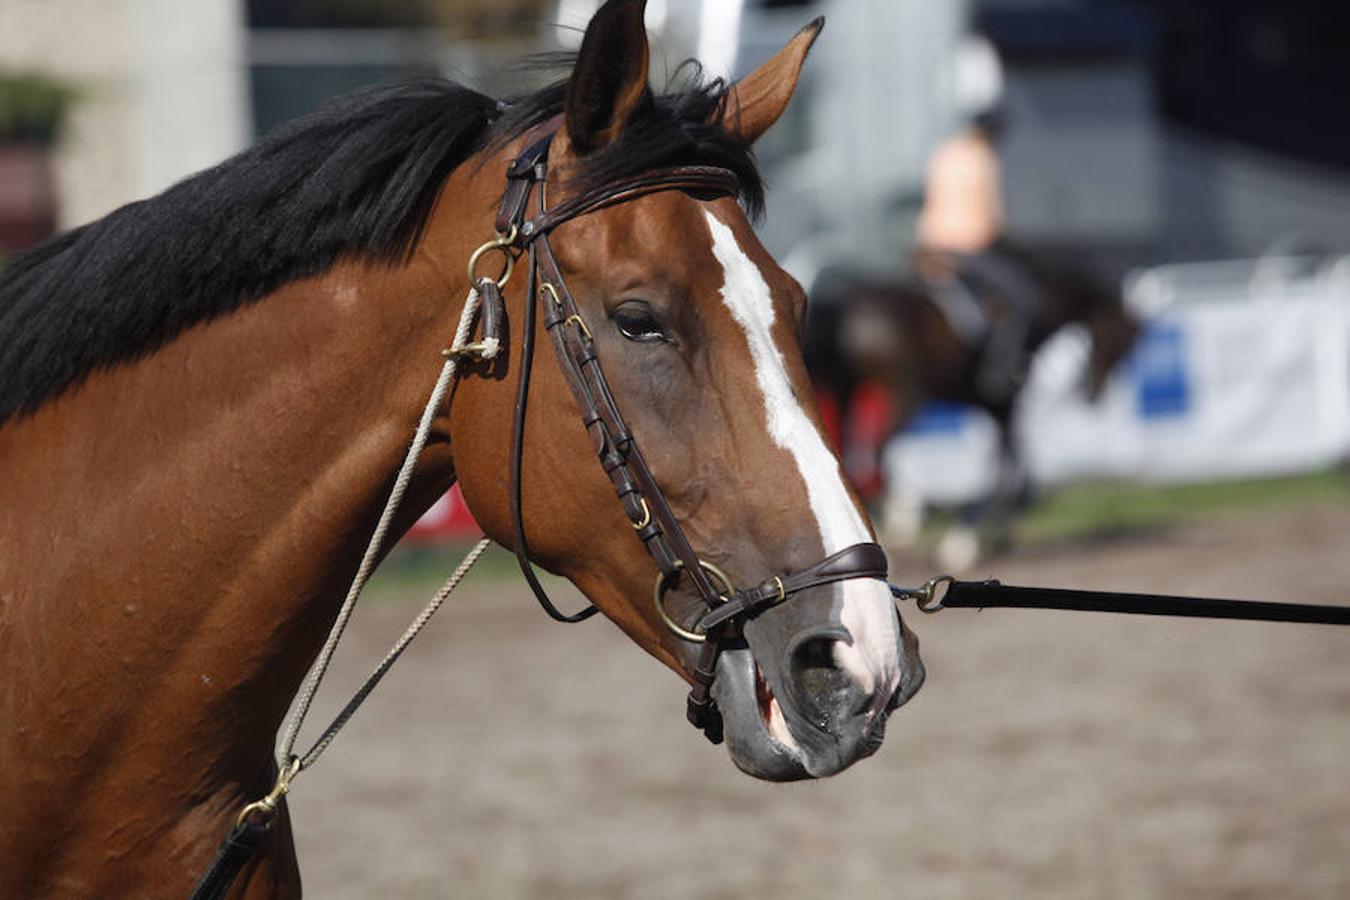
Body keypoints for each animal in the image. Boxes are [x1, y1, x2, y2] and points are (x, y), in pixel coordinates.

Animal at [799, 241, 1139, 564]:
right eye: (1119, 340)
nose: (1094, 392)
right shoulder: (1003, 405)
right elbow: (1006, 465)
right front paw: (967, 541)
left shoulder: (991, 407)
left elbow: (1011, 462)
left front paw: (998, 534)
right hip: (904, 395)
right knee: (878, 454)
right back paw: (898, 524)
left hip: (847, 392)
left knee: (847, 456)